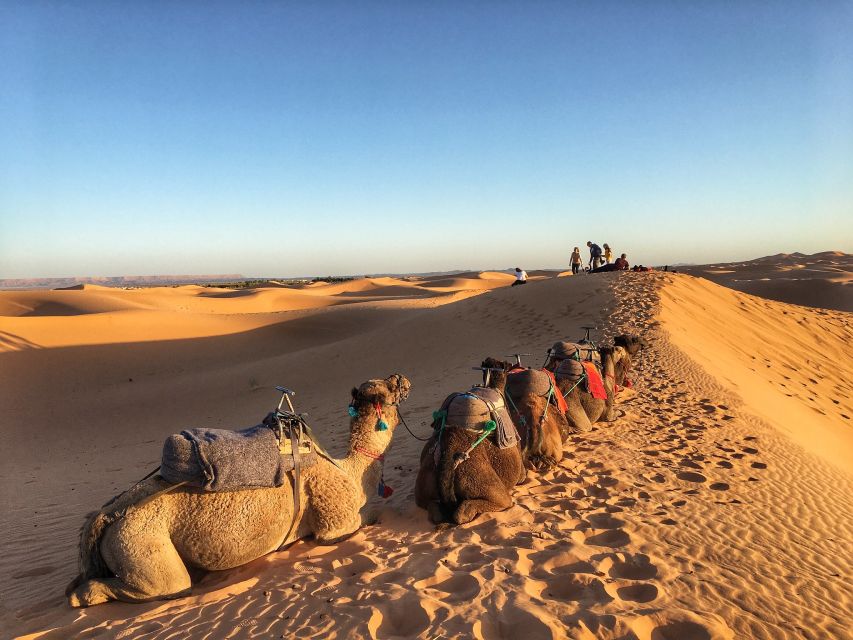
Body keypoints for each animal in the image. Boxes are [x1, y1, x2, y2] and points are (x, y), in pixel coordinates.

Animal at [65, 372, 410, 608]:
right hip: (141, 543)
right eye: (389, 389)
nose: (402, 377)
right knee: (157, 585)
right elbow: (366, 518)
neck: (347, 469)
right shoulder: (335, 520)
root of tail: (107, 516)